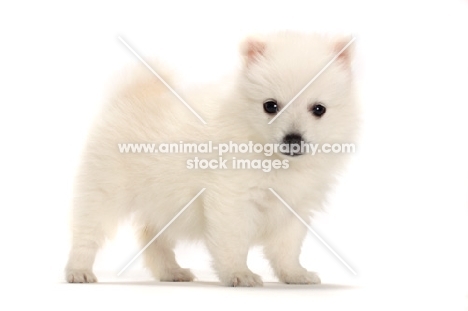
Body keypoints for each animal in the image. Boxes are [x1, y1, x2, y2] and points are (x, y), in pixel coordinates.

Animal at [65, 32, 358, 288]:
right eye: (270, 105)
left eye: (318, 109)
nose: (293, 139)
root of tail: (130, 95)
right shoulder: (233, 197)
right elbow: (233, 240)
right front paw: (239, 274)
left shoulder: (294, 207)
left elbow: (287, 248)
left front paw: (295, 275)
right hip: (105, 190)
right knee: (87, 232)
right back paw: (78, 271)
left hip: (165, 204)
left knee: (152, 237)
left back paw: (171, 271)